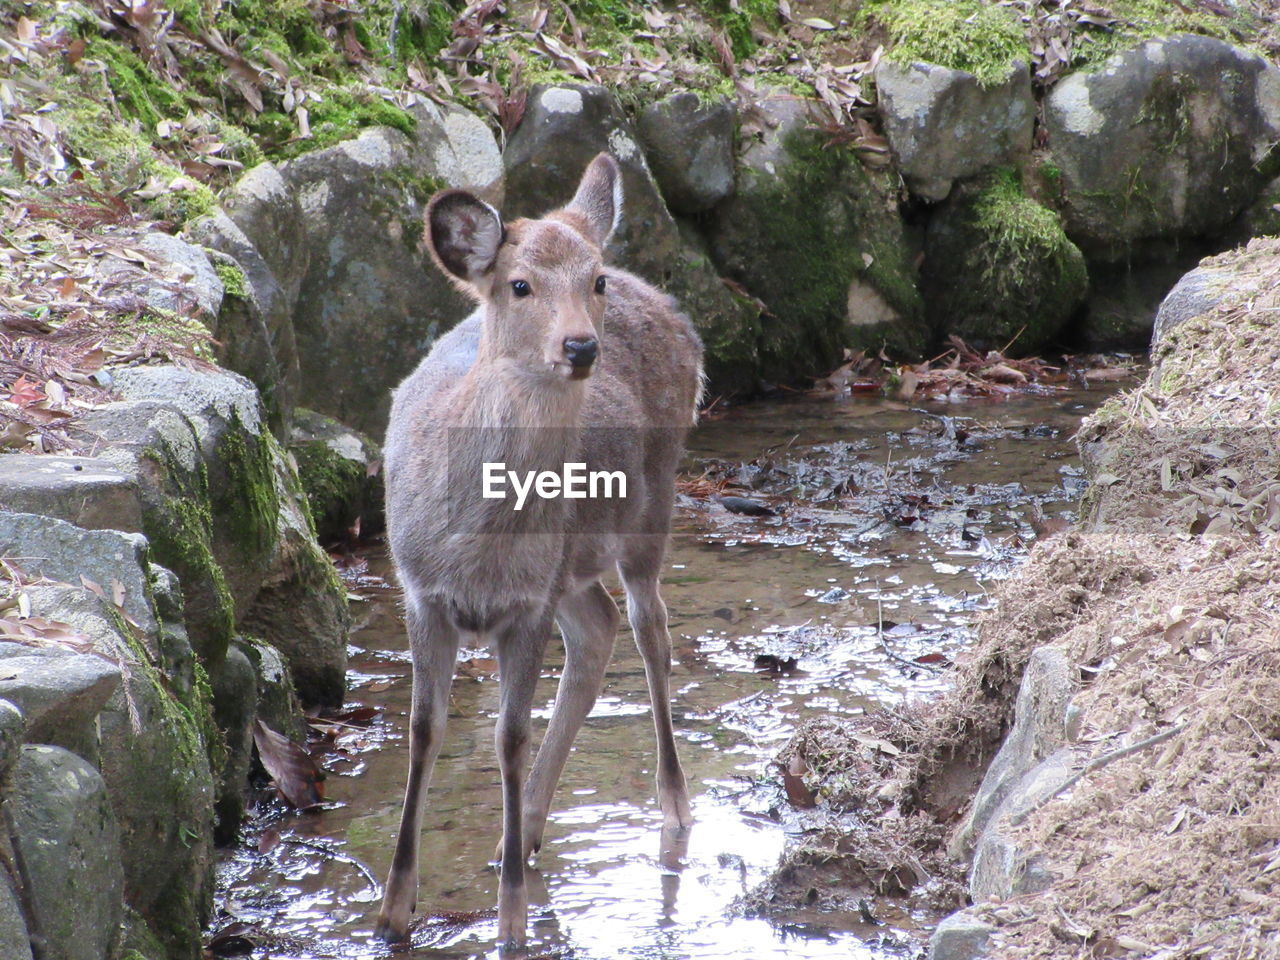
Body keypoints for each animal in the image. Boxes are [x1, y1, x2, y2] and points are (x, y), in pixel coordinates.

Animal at [373, 154, 706, 952]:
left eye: (595, 281)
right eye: (519, 284)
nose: (581, 346)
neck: (476, 546)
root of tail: (674, 312)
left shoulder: (525, 606)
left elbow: (508, 738)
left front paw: (512, 923)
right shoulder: (418, 589)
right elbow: (424, 730)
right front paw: (393, 913)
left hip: (653, 500)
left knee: (649, 630)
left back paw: (672, 807)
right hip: (573, 565)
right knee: (598, 629)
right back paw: (519, 835)